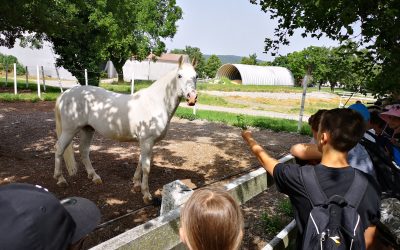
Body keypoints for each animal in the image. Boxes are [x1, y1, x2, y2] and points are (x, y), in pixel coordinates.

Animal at [54, 57, 198, 203]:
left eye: (196, 76)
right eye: (179, 76)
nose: (192, 97)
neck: (155, 103)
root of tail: (65, 94)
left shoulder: (145, 142)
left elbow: (140, 162)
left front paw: (136, 184)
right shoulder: (147, 141)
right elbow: (146, 167)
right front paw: (146, 194)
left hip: (87, 129)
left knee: (83, 150)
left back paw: (94, 176)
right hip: (69, 130)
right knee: (59, 149)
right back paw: (60, 179)